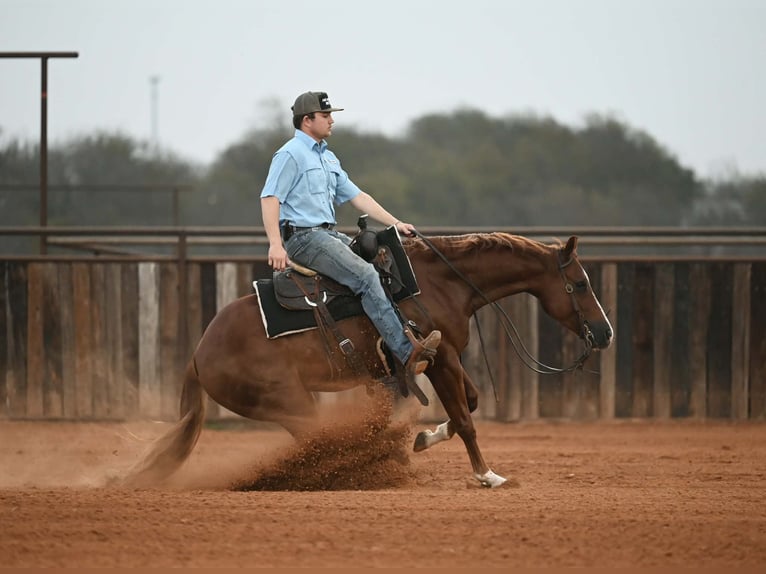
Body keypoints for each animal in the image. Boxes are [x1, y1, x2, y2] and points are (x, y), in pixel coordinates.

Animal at [121, 232, 613, 489]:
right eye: (581, 284)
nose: (605, 333)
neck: (441, 283)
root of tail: (198, 354)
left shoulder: (447, 358)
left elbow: (468, 406)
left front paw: (425, 438)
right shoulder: (438, 358)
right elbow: (466, 417)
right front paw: (486, 474)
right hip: (290, 401)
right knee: (318, 442)